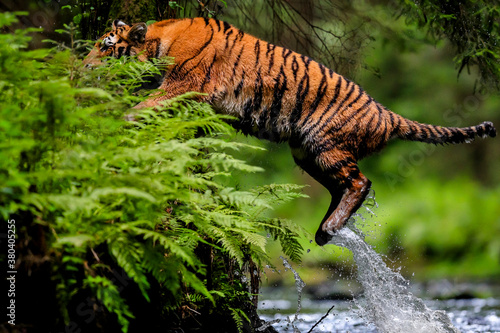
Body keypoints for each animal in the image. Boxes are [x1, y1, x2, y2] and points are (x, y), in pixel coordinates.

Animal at [86, 18, 496, 246]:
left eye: (106, 47)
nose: (84, 66)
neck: (160, 39)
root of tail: (385, 113)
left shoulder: (183, 84)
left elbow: (141, 107)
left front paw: (118, 120)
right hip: (306, 152)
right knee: (343, 187)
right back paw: (324, 229)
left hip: (325, 144)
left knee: (360, 182)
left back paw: (329, 228)